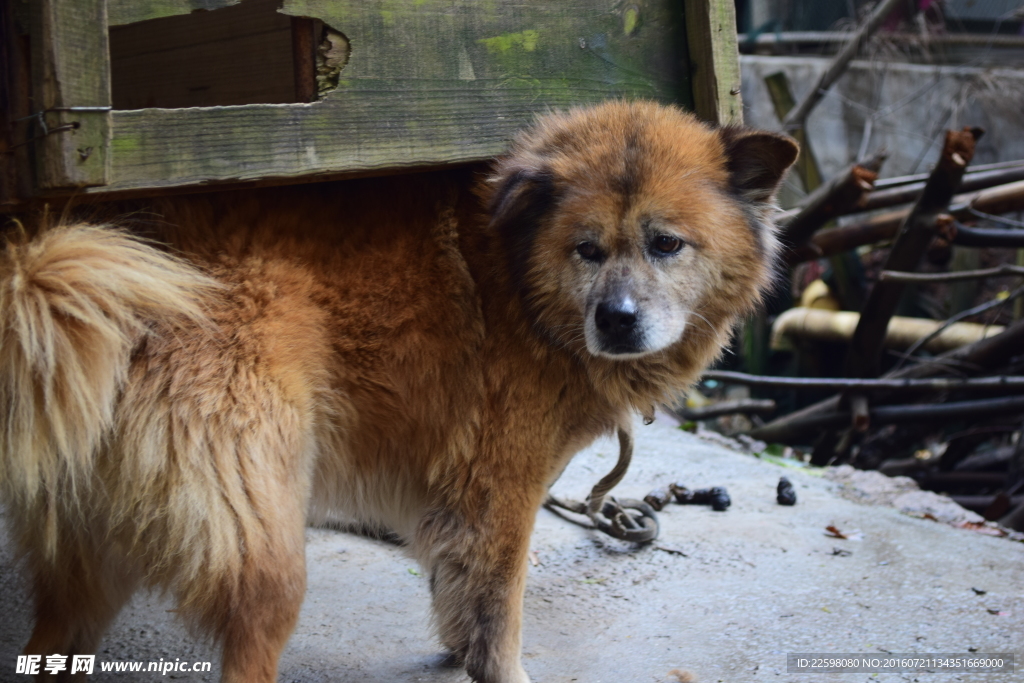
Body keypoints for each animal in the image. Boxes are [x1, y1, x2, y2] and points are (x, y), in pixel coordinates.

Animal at [0, 102, 794, 683]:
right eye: (587, 249)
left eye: (667, 244)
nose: (618, 320)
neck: (518, 276)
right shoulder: (500, 494)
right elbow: (499, 615)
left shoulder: (453, 504)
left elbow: (459, 601)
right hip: (267, 550)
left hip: (88, 564)